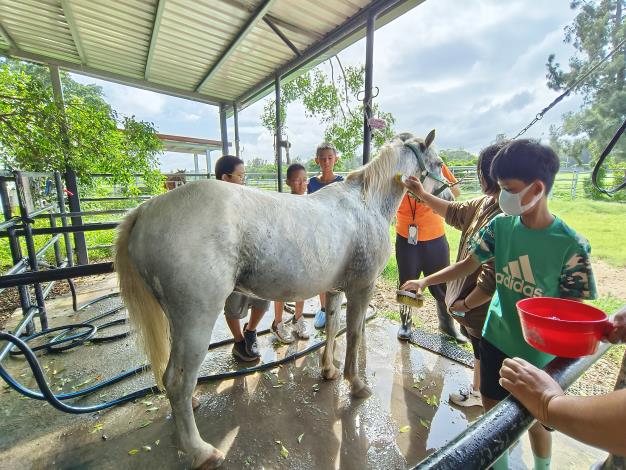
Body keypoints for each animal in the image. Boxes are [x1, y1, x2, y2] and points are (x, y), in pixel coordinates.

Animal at [113, 130, 448, 468]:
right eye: (437, 162)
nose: (447, 196)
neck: (367, 203)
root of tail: (146, 210)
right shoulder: (361, 289)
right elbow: (353, 335)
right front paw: (356, 384)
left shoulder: (335, 290)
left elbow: (332, 328)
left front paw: (328, 371)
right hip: (196, 320)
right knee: (177, 380)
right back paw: (202, 451)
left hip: (176, 320)